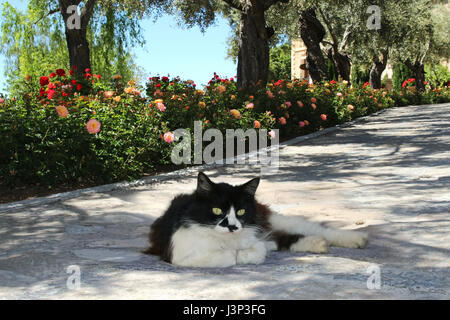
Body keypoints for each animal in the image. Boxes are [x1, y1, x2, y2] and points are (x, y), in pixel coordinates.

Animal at [144, 172, 370, 268]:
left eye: (241, 211)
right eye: (217, 210)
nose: (233, 226)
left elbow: (248, 249)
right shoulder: (181, 256)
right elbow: (230, 255)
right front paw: (251, 252)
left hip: (272, 218)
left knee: (320, 230)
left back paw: (355, 239)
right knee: (286, 239)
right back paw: (317, 244)